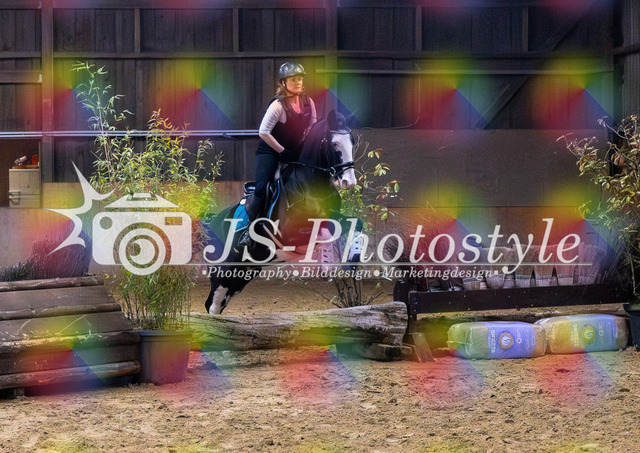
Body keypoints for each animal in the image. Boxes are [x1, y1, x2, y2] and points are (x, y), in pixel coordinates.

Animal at [203, 110, 359, 314]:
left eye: (352, 142)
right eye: (334, 144)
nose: (349, 182)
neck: (311, 184)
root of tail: (213, 221)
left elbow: (350, 226)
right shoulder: (289, 235)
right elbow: (324, 232)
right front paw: (327, 266)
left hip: (243, 273)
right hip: (222, 270)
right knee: (213, 305)